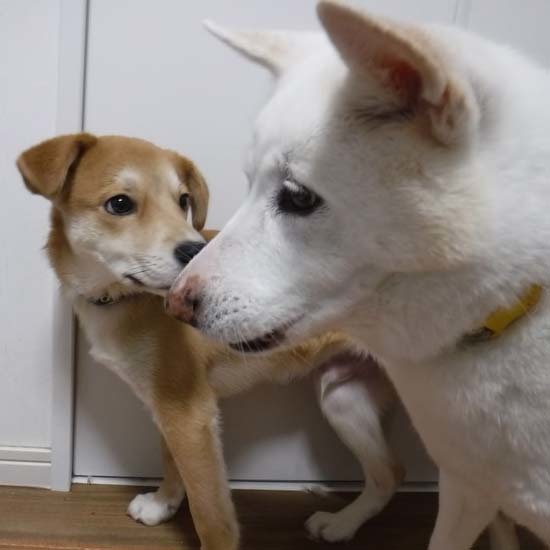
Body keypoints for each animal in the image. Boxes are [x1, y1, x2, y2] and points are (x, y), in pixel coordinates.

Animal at [17, 133, 408, 549]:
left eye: (183, 200)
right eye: (119, 204)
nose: (195, 252)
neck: (123, 300)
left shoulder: (190, 412)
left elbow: (210, 513)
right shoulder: (169, 405)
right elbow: (170, 461)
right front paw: (162, 505)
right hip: (343, 398)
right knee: (389, 473)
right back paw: (342, 524)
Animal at [167, 1, 550, 547]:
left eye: (298, 197)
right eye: (249, 182)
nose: (174, 303)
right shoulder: (464, 487)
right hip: (341, 398)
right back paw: (343, 521)